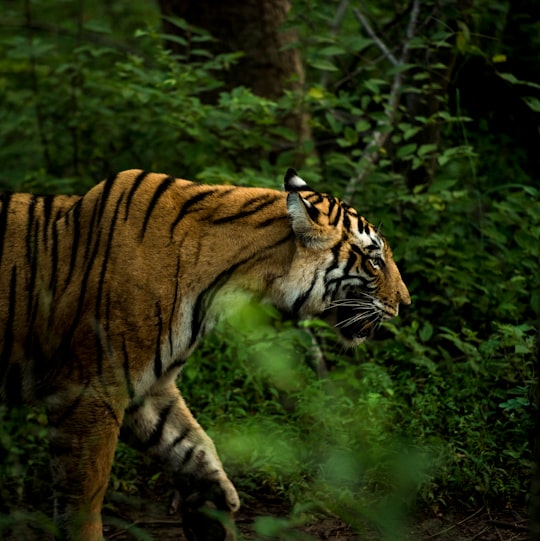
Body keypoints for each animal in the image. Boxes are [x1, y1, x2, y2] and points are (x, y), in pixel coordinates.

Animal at [0, 167, 410, 536]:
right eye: (374, 260)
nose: (406, 303)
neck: (230, 283)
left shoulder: (148, 390)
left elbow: (193, 448)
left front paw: (212, 508)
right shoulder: (91, 389)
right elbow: (84, 497)